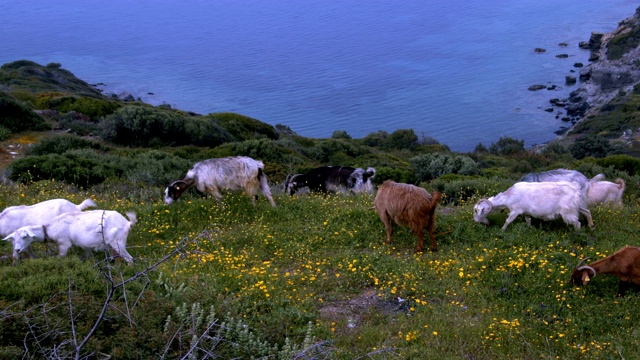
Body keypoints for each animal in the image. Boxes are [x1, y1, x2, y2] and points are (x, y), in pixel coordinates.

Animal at [6, 210, 138, 262]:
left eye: (25, 237)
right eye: (14, 238)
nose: (17, 250)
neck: (50, 229)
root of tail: (127, 223)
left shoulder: (64, 244)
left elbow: (60, 258)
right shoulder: (84, 245)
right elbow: (89, 257)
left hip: (118, 241)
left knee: (130, 259)